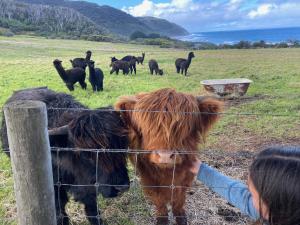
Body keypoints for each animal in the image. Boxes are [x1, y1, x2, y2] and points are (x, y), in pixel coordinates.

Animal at [1, 87, 130, 225]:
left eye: (122, 148)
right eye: (87, 155)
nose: (121, 187)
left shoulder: (88, 185)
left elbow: (91, 206)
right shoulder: (55, 187)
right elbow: (60, 210)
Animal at [115, 89, 223, 225]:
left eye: (185, 127)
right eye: (146, 127)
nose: (165, 156)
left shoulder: (185, 178)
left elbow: (179, 200)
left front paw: (181, 217)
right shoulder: (149, 180)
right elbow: (159, 201)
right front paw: (162, 219)